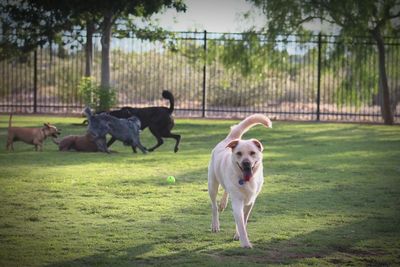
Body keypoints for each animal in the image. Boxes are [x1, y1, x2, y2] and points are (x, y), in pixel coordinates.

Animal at [209, 113, 272, 249]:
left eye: (252, 153)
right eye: (239, 153)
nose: (246, 163)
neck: (246, 180)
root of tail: (230, 139)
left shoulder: (250, 202)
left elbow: (244, 219)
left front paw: (238, 235)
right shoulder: (237, 202)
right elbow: (241, 223)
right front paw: (245, 243)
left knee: (225, 191)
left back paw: (223, 204)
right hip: (212, 185)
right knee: (214, 206)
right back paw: (215, 224)